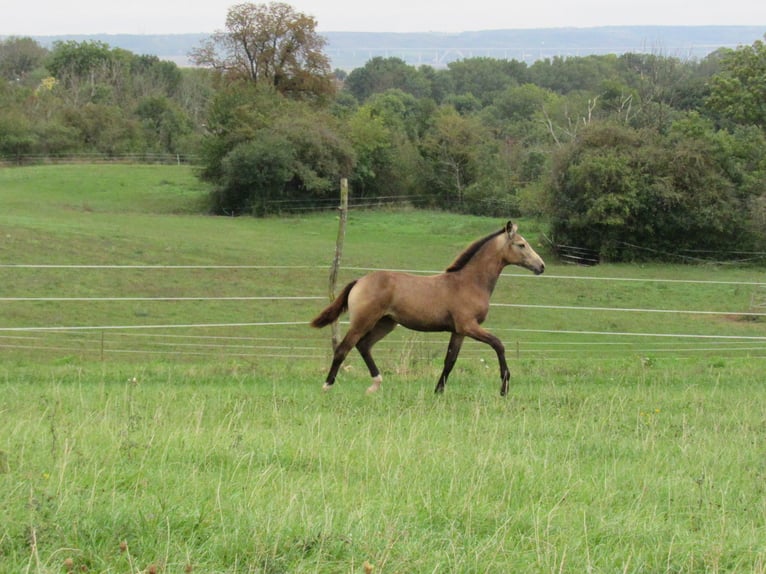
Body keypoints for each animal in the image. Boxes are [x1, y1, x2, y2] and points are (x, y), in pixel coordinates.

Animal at [310, 220, 544, 396]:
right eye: (521, 244)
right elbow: (498, 344)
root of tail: (359, 281)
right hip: (363, 321)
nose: (541, 266)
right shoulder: (469, 326)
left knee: (364, 346)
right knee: (343, 348)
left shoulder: (458, 331)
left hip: (385, 323)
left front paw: (438, 391)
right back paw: (327, 386)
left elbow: (450, 360)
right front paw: (504, 387)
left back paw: (375, 385)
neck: (469, 282)